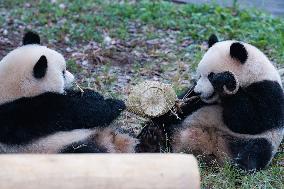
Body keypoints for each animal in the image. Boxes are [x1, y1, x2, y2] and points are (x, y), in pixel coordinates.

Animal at [0, 32, 138, 154]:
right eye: (63, 73)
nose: (73, 78)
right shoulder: (27, 112)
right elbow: (79, 112)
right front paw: (114, 104)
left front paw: (92, 94)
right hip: (57, 147)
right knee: (84, 150)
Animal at [136, 34, 282, 171]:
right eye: (200, 75)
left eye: (211, 76)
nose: (199, 92)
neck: (253, 73)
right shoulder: (197, 100)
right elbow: (181, 107)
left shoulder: (268, 91)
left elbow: (250, 121)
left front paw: (226, 81)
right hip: (182, 126)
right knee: (167, 130)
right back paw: (152, 140)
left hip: (257, 141)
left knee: (255, 151)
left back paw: (240, 167)